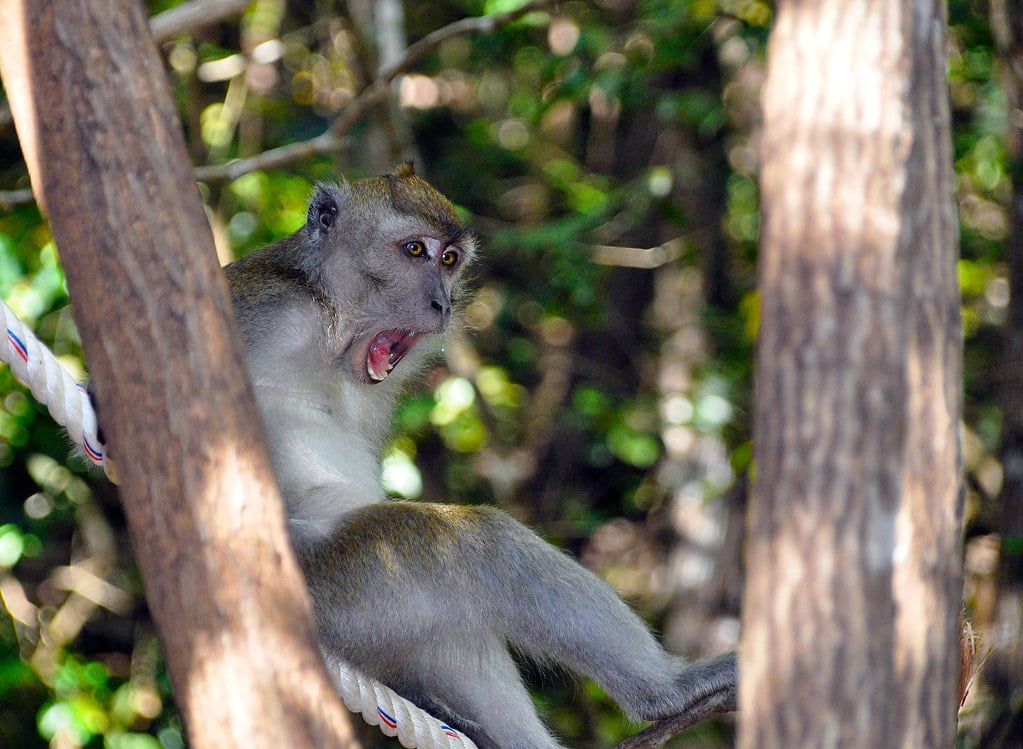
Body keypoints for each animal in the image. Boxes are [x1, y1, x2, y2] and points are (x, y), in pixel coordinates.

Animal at [223, 163, 737, 748]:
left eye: (449, 260)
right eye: (415, 250)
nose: (442, 305)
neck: (327, 316)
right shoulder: (267, 314)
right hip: (334, 593)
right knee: (473, 542)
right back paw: (666, 692)